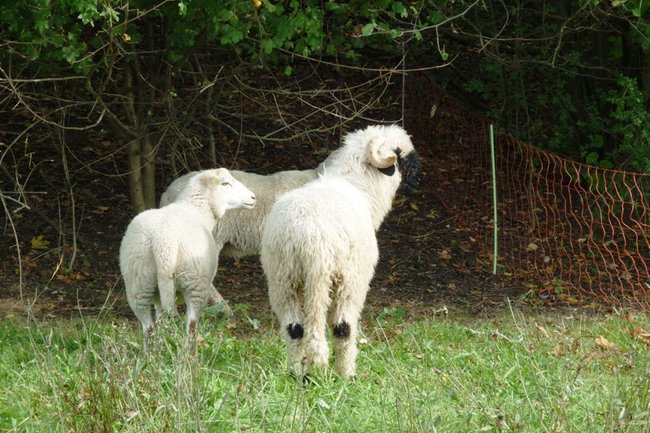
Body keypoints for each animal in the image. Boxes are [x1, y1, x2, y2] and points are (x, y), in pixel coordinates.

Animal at [119, 167, 256, 350]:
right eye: (225, 183)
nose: (253, 197)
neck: (196, 208)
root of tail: (163, 240)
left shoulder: (158, 295)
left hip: (139, 283)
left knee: (148, 327)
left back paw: (151, 355)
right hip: (195, 282)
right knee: (191, 325)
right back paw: (190, 354)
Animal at [258, 122, 420, 378]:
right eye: (402, 156)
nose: (419, 178)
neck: (360, 188)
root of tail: (306, 234)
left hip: (283, 278)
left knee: (294, 329)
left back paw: (297, 374)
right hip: (340, 280)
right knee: (342, 327)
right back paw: (343, 373)